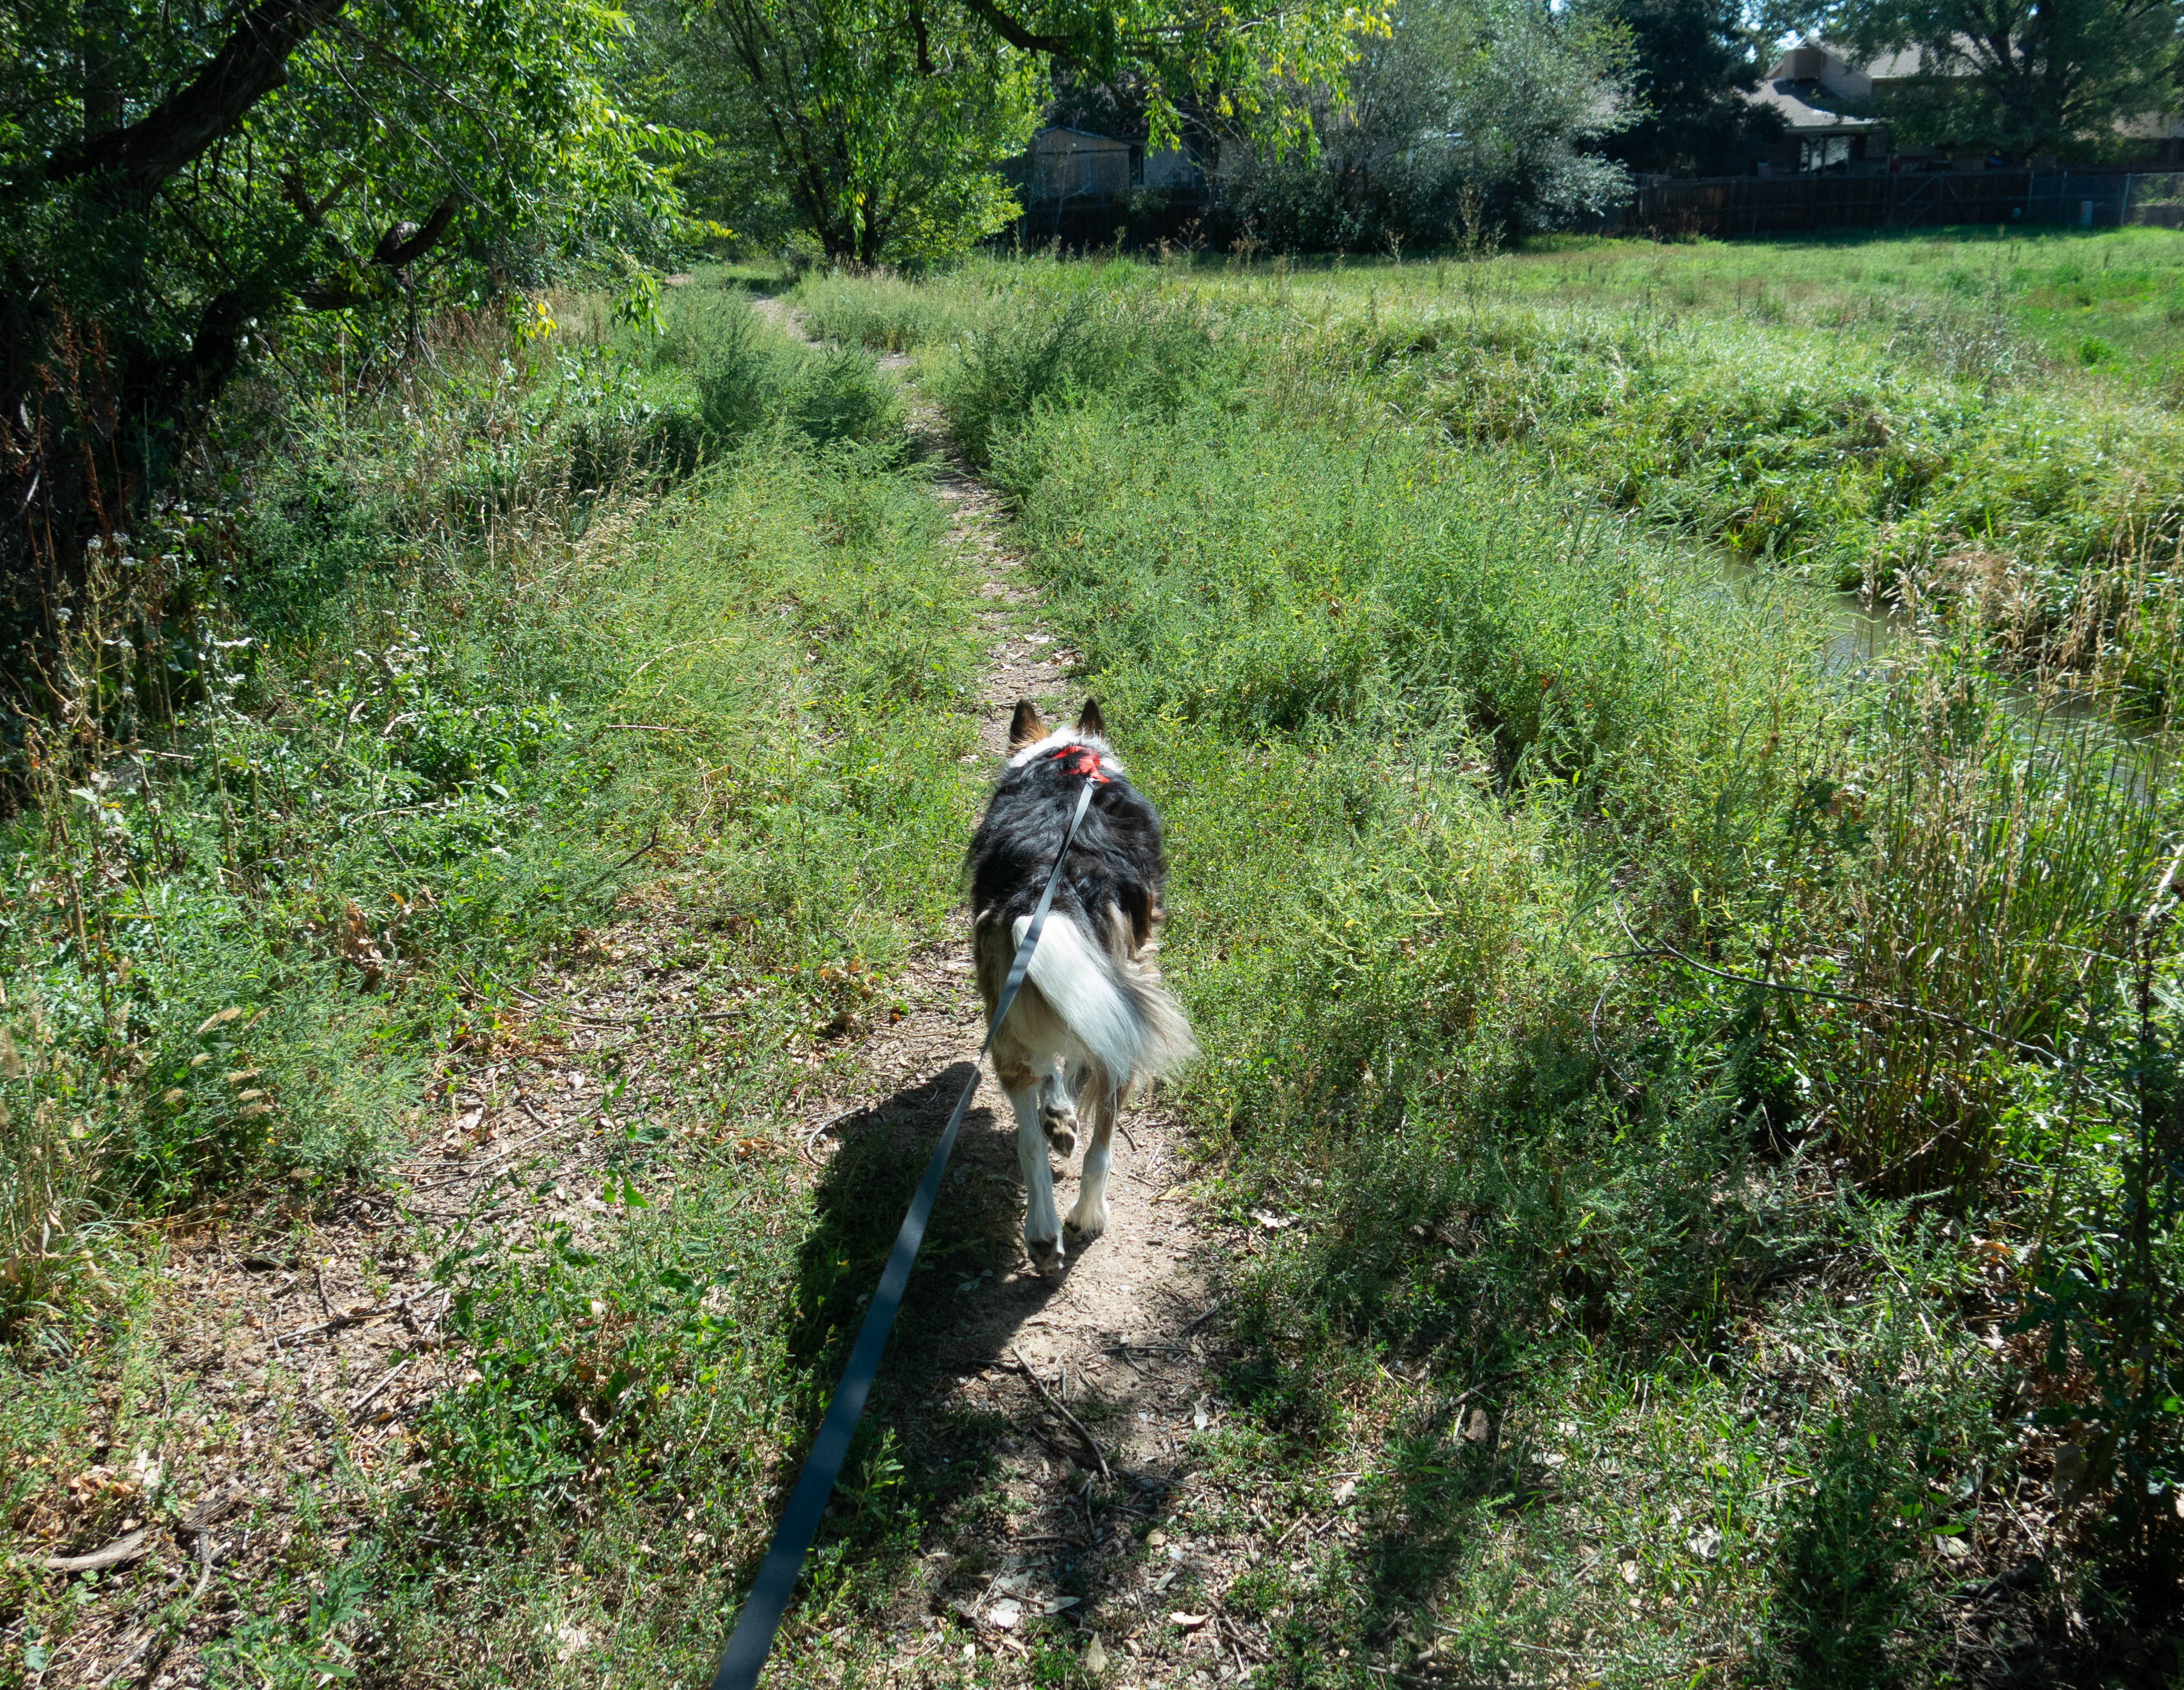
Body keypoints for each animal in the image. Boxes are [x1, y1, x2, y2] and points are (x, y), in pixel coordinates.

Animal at [968, 697, 1196, 1271]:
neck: (1068, 759)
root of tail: (1047, 888)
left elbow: (1055, 1074)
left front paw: (1058, 1117)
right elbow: (1072, 1067)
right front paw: (1065, 1112)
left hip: (1008, 1025)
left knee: (1029, 1142)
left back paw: (1043, 1232)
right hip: (1129, 1013)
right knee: (1102, 1145)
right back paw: (1087, 1215)